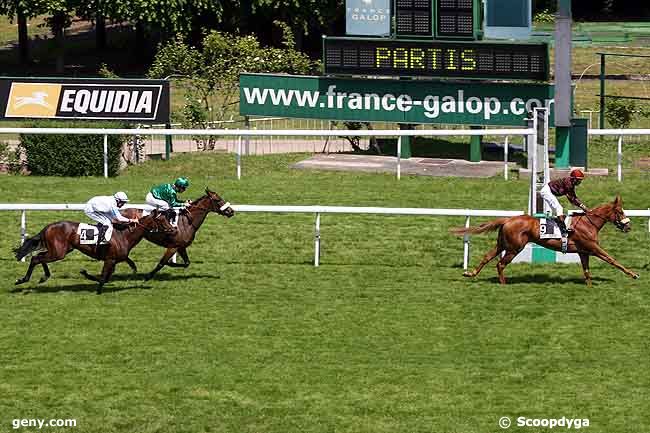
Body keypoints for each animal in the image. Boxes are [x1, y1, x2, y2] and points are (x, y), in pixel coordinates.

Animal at [14, 210, 173, 294]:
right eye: (161, 220)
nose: (173, 229)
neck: (124, 235)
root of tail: (47, 227)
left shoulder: (114, 260)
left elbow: (107, 277)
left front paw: (86, 274)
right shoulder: (109, 259)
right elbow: (103, 277)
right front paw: (97, 290)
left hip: (61, 250)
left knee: (39, 257)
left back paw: (43, 277)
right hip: (58, 252)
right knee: (36, 258)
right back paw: (23, 279)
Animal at [454, 195, 636, 284]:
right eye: (620, 212)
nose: (628, 226)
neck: (588, 222)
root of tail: (507, 219)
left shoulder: (583, 252)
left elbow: (586, 272)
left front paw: (590, 286)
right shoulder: (593, 248)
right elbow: (612, 260)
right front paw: (633, 274)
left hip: (502, 244)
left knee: (487, 257)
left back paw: (470, 273)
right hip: (514, 248)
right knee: (500, 264)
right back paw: (504, 284)